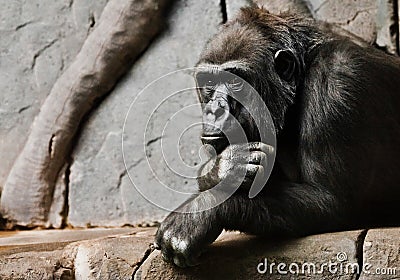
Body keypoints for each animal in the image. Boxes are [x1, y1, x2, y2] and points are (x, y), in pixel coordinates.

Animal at [154, 6, 400, 266]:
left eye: (235, 83)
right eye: (209, 82)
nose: (215, 109)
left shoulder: (338, 81)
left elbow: (330, 201)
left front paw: (202, 210)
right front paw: (223, 168)